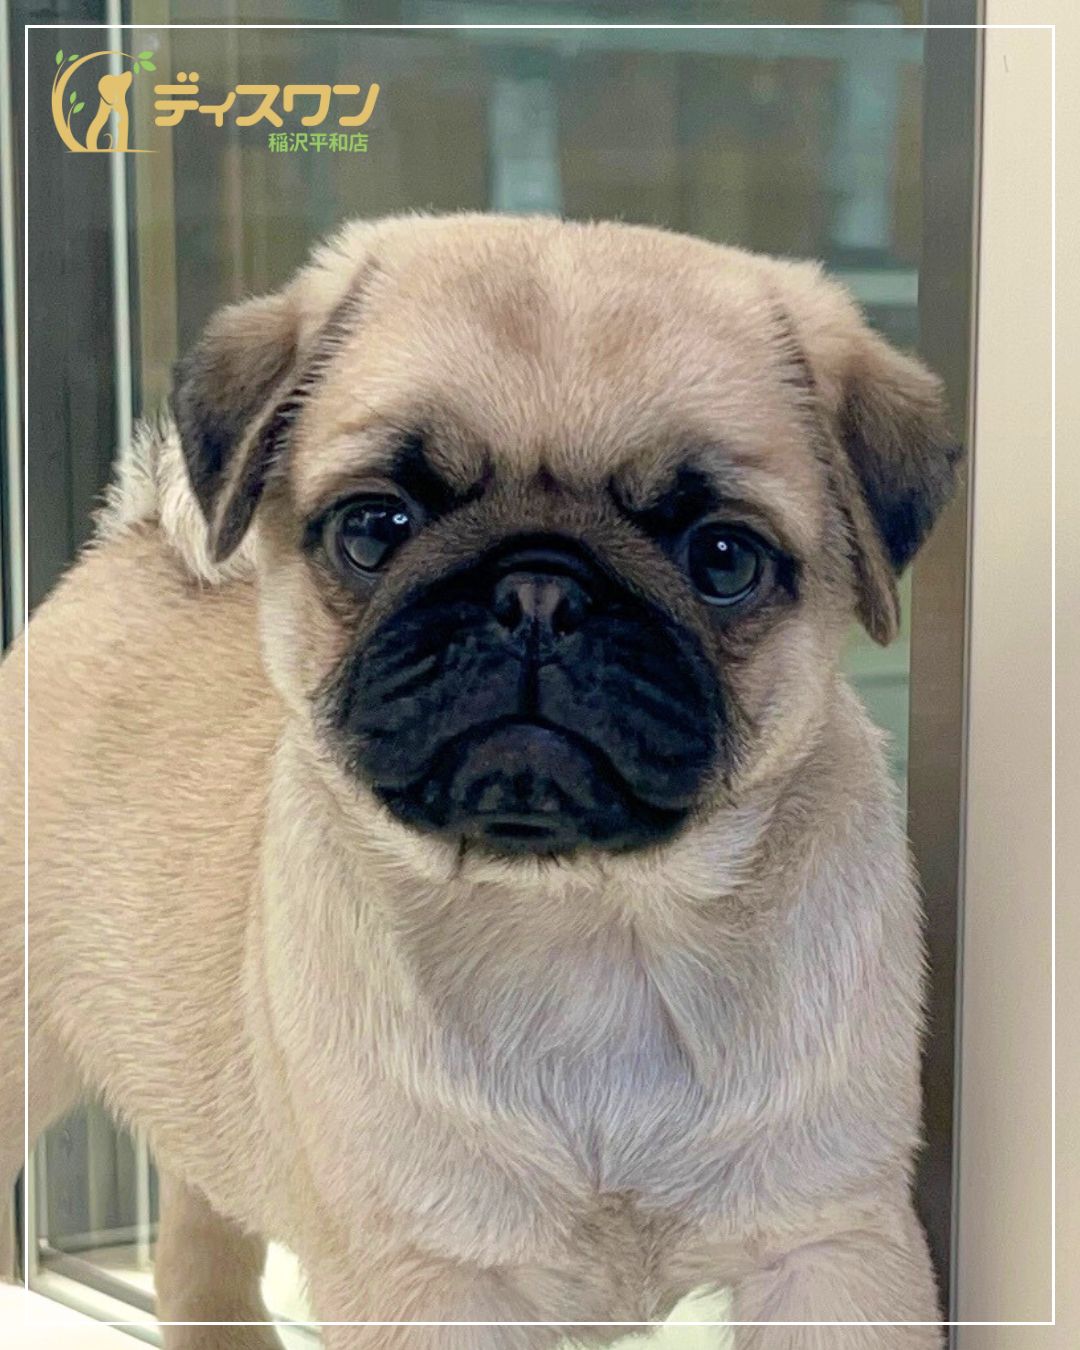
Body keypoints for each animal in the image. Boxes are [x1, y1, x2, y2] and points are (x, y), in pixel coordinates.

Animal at [0, 213, 959, 1347]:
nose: (538, 590)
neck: (589, 925)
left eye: (724, 558)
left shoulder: (833, 1246)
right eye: (375, 528)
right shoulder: (428, 1278)